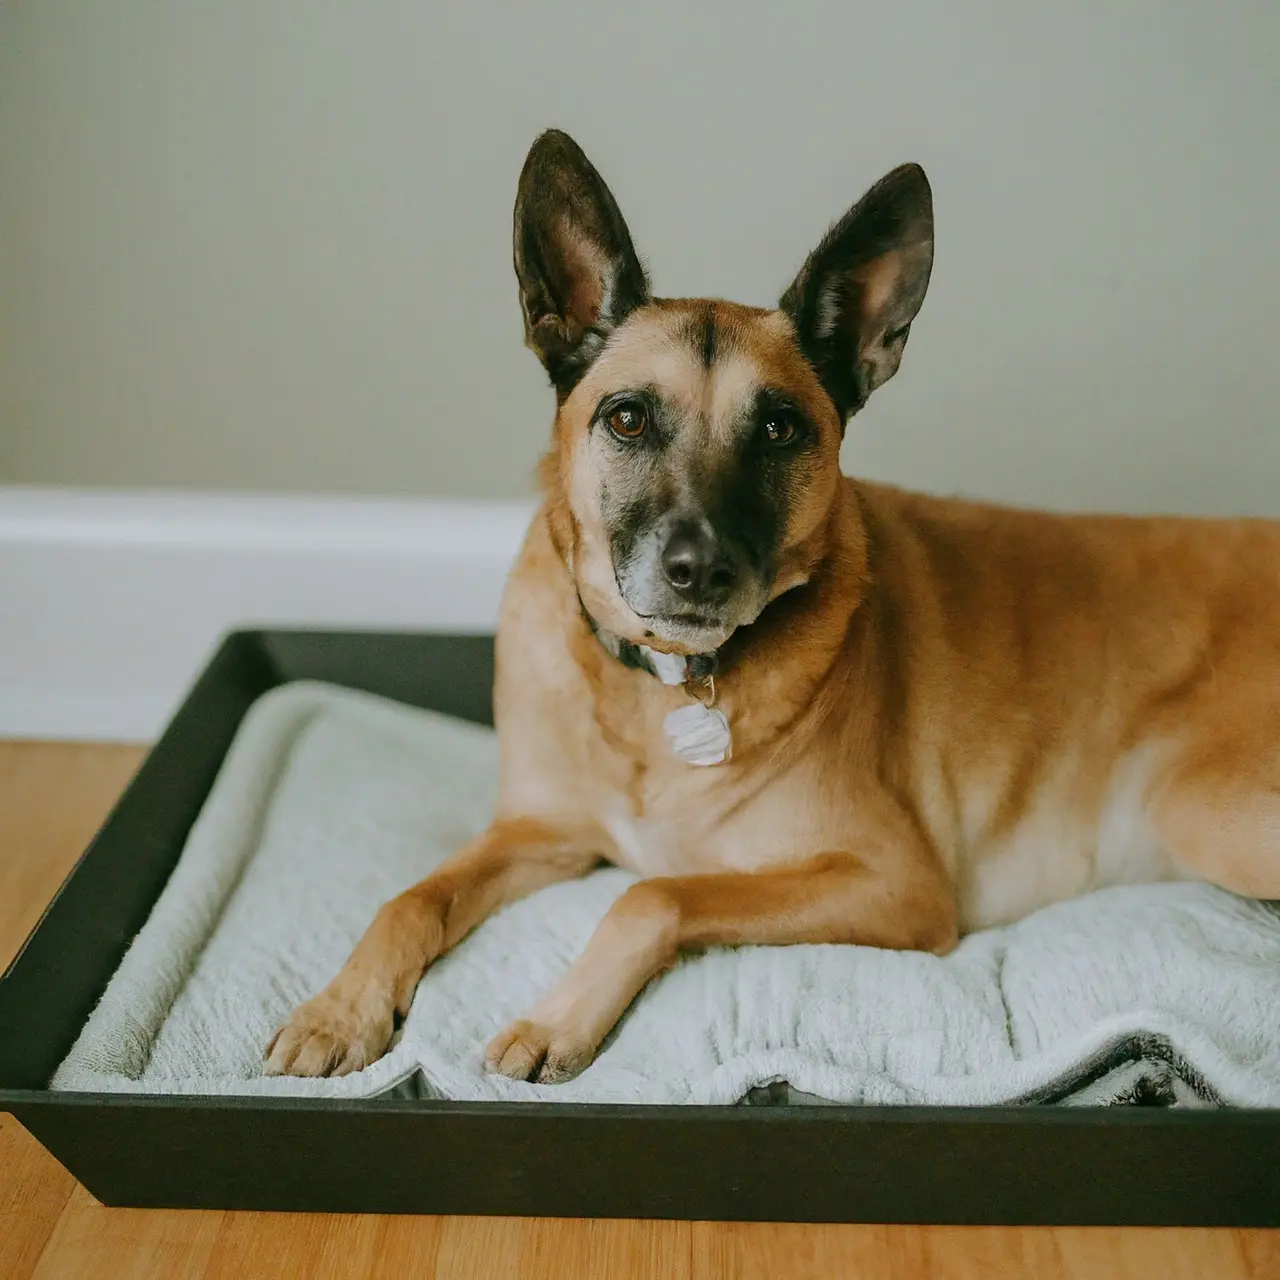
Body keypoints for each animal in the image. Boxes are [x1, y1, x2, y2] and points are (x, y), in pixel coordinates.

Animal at [262, 129, 1280, 1085]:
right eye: (627, 418)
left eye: (782, 429)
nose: (699, 571)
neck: (665, 693)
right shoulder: (539, 832)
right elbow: (412, 897)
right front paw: (339, 1009)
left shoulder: (892, 883)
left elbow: (654, 894)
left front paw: (557, 1017)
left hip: (1205, 811)